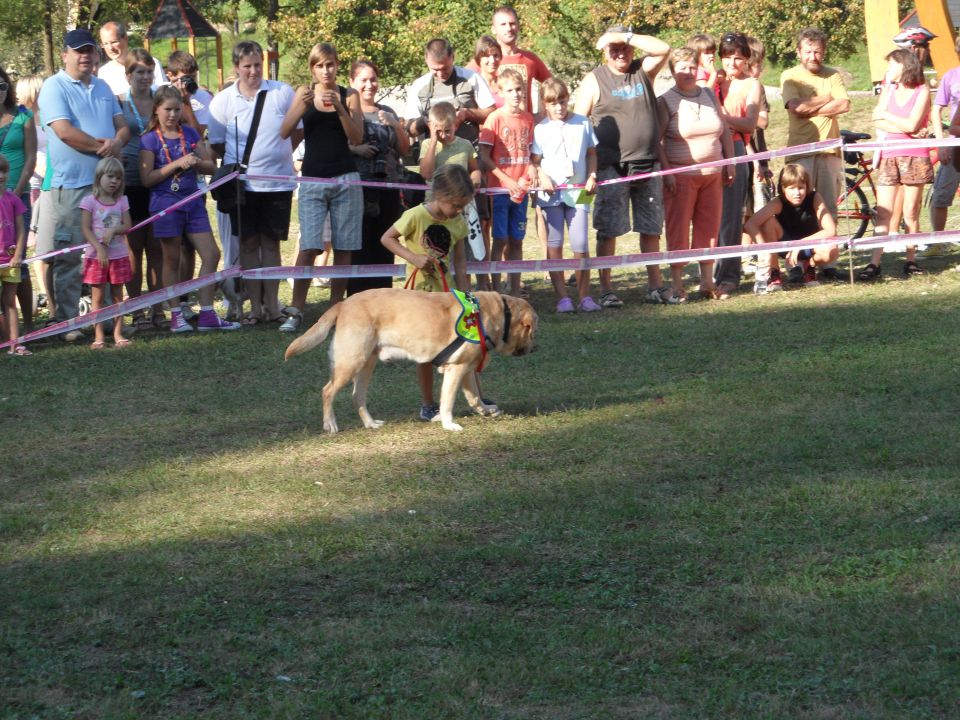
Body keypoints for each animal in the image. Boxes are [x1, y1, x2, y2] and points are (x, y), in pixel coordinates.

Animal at [284, 286, 540, 434]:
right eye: (532, 331)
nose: (534, 348)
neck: (497, 314)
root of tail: (343, 303)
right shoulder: (455, 369)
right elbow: (448, 402)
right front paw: (449, 424)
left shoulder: (466, 369)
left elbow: (474, 396)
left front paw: (485, 410)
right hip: (351, 362)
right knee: (327, 391)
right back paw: (331, 424)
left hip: (366, 365)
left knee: (357, 396)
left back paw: (370, 423)